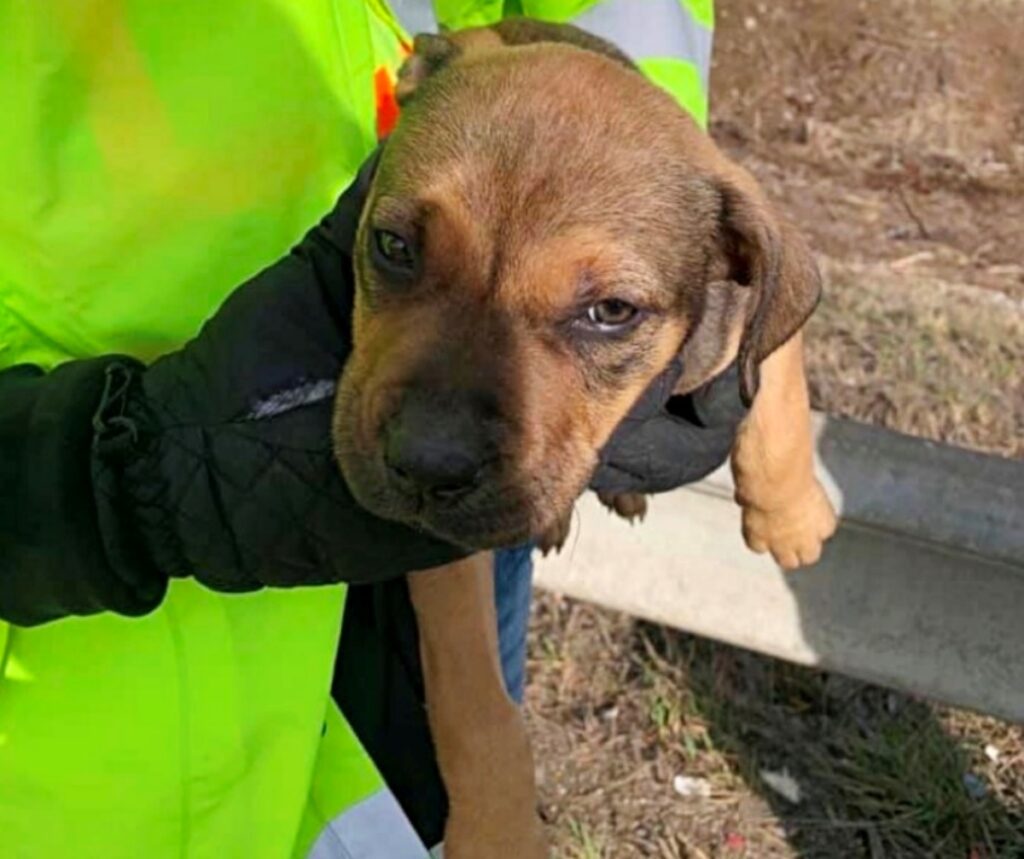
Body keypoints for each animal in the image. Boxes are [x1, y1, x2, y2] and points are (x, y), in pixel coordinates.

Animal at [331, 21, 835, 859]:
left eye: (611, 312)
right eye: (393, 245)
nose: (427, 463)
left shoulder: (746, 283)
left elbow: (777, 370)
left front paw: (791, 516)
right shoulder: (444, 559)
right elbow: (480, 712)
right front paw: (497, 829)